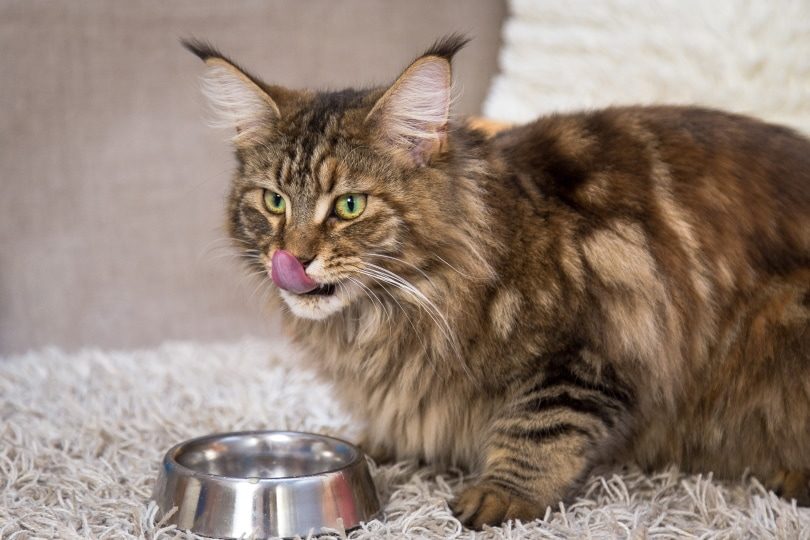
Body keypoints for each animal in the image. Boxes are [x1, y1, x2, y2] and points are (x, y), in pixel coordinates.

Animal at [185, 35, 808, 528]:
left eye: (349, 206)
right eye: (274, 201)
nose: (292, 257)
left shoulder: (592, 347)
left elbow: (540, 429)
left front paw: (499, 496)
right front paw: (377, 446)